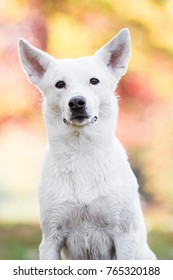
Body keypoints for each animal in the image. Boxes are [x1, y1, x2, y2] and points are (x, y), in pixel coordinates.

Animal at [18, 29, 156, 260]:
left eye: (94, 81)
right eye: (60, 84)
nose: (76, 102)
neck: (81, 150)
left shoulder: (123, 235)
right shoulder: (51, 238)